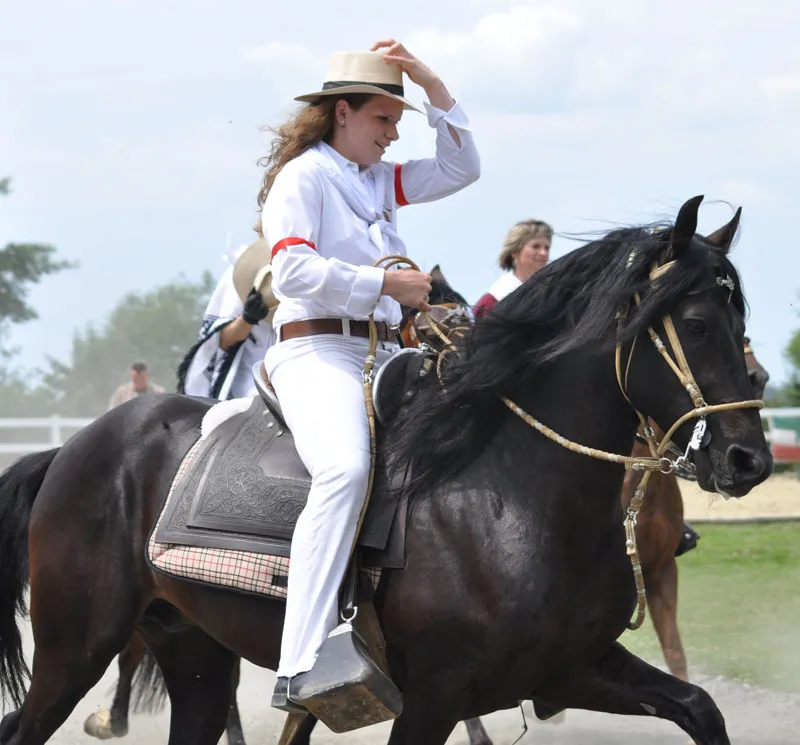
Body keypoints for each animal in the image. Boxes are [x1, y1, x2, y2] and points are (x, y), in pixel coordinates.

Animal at [1, 195, 776, 740]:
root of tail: (74, 447)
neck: (509, 499)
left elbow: (699, 705)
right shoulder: (434, 696)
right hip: (76, 648)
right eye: (696, 323)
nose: (749, 458)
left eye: (743, 322)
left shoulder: (573, 667)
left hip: (195, 654)